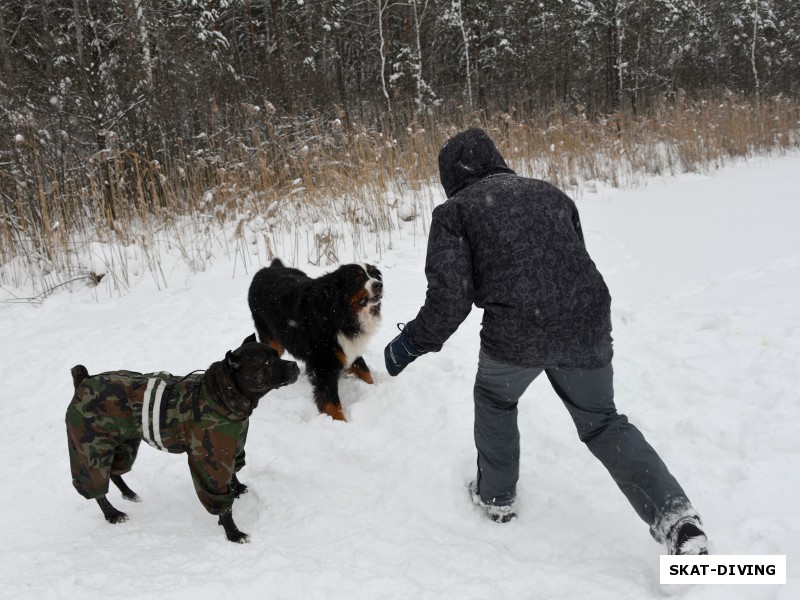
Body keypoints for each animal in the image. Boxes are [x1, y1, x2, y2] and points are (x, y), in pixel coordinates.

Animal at [66, 332, 300, 544]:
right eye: (267, 362)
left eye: (277, 355)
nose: (295, 365)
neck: (219, 395)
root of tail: (83, 381)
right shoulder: (210, 464)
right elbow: (223, 506)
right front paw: (233, 533)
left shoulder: (231, 450)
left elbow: (232, 473)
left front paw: (238, 488)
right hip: (91, 450)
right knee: (96, 485)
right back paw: (112, 514)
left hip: (125, 445)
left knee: (114, 472)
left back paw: (129, 494)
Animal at [248, 258, 382, 422]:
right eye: (358, 278)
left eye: (374, 274)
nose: (379, 284)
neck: (340, 313)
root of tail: (268, 269)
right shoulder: (324, 361)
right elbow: (331, 400)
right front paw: (339, 422)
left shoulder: (347, 347)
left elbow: (364, 370)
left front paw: (374, 387)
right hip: (270, 336)